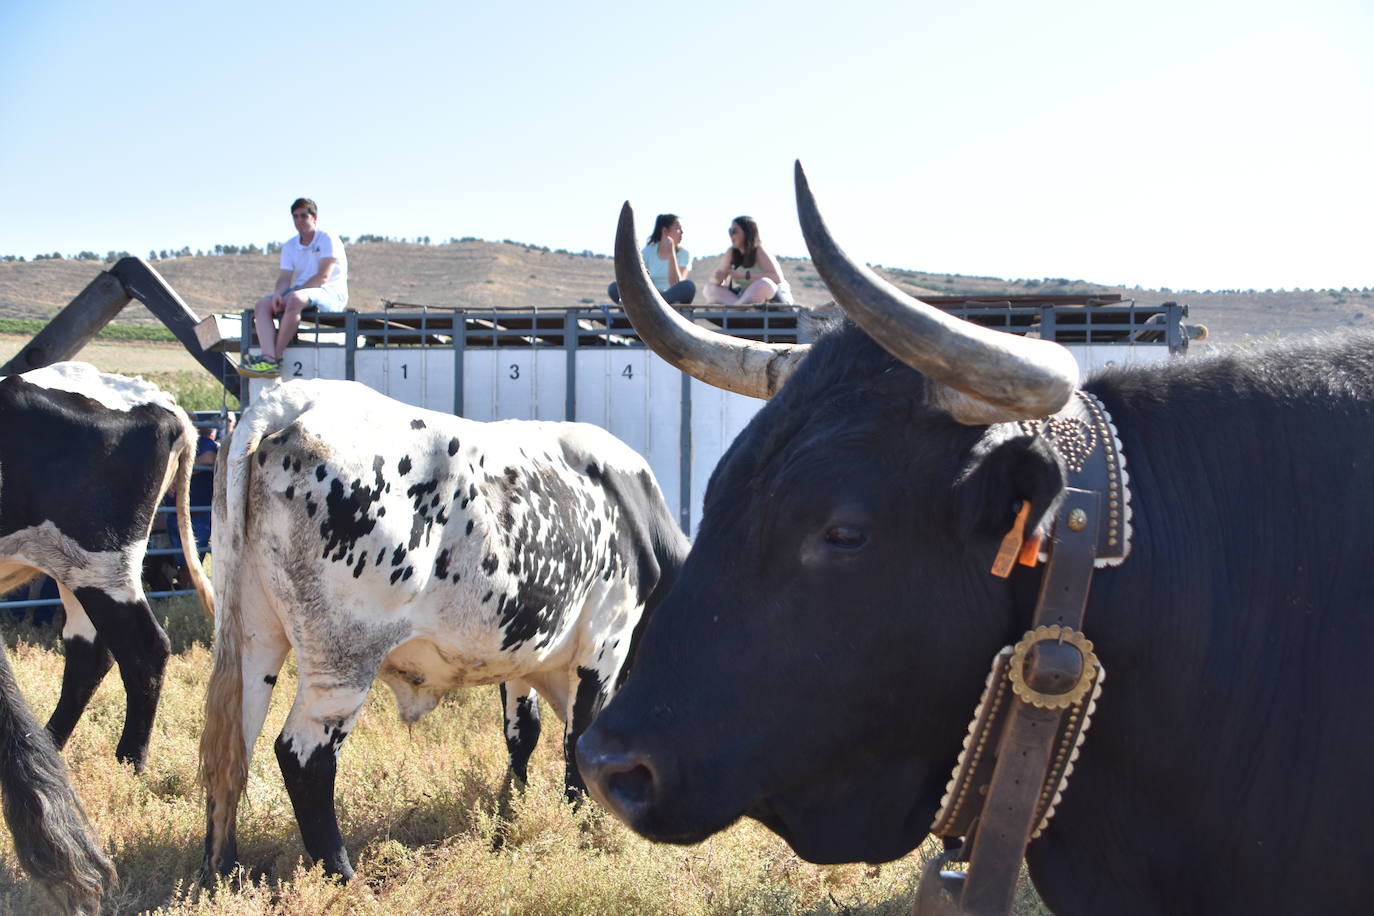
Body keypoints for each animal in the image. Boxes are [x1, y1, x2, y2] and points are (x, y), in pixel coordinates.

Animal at [0, 359, 212, 774]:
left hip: (101, 562)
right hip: (72, 565)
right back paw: (50, 746)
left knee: (144, 651)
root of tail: (159, 400)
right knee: (90, 653)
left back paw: (130, 762)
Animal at [199, 379, 692, 878]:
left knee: (232, 749)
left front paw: (511, 811)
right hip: (342, 659)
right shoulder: (604, 642)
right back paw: (342, 875)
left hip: (253, 638)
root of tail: (290, 400)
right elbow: (579, 740)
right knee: (303, 756)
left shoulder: (523, 650)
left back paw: (222, 869)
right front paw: (583, 825)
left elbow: (523, 733)